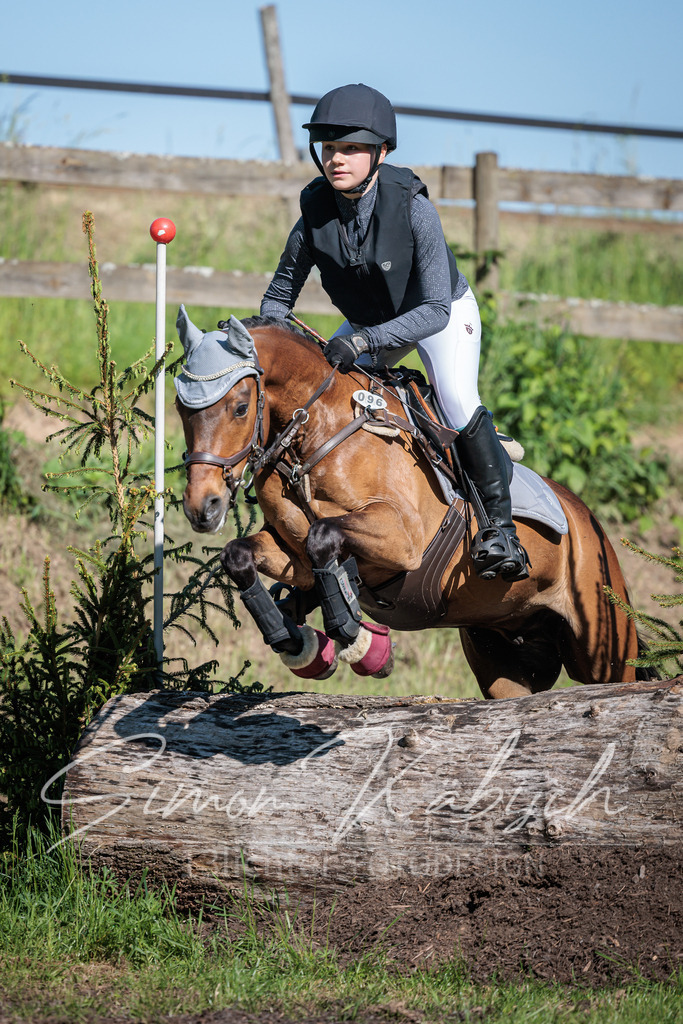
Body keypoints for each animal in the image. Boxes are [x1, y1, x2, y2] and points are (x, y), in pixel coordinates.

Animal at [174, 308, 641, 700]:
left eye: (239, 408)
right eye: (181, 409)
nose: (203, 508)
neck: (317, 435)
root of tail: (588, 521)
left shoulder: (401, 540)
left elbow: (324, 536)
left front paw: (360, 641)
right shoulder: (296, 557)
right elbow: (241, 555)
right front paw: (297, 642)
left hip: (605, 649)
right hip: (504, 655)